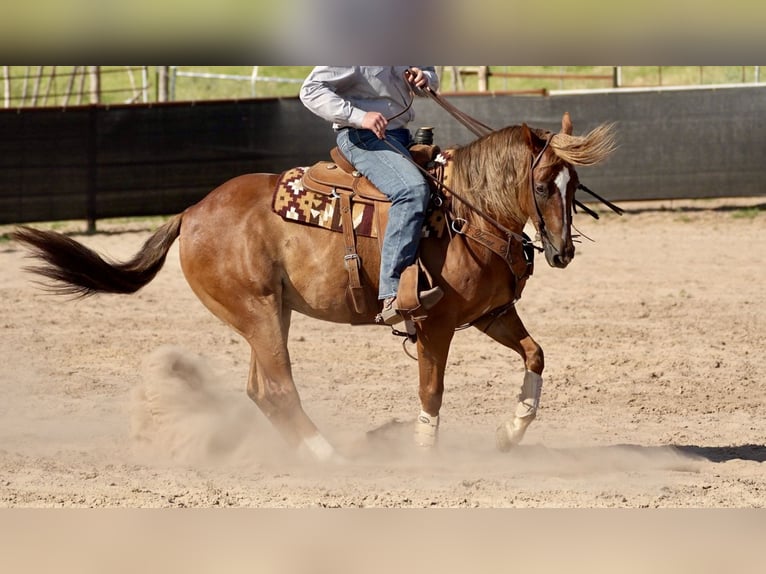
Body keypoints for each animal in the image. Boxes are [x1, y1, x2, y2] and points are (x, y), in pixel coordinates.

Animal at [12, 111, 616, 464]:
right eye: (543, 185)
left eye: (575, 184)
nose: (562, 253)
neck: (467, 212)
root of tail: (190, 212)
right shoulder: (436, 324)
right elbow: (432, 391)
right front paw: (426, 457)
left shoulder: (491, 314)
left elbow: (535, 355)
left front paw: (511, 432)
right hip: (256, 311)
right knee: (279, 388)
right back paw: (329, 455)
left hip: (272, 313)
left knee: (261, 390)